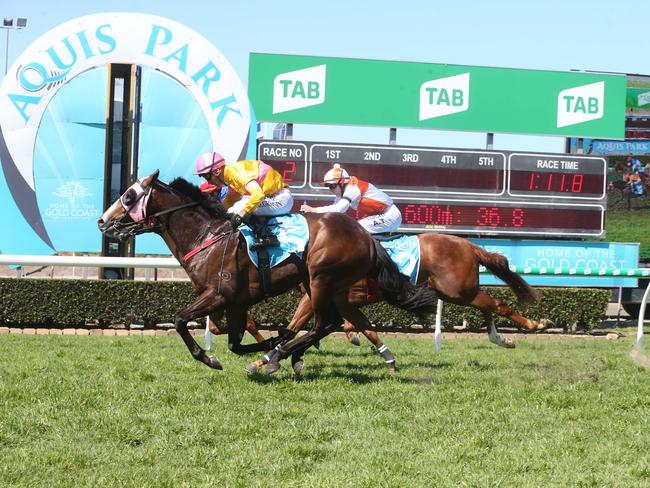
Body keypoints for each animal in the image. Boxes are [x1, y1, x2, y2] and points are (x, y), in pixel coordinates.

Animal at [96, 170, 436, 372]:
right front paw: (271, 343)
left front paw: (210, 358)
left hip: (321, 278)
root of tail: (365, 236)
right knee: (332, 323)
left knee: (325, 323)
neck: (207, 236)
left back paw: (278, 356)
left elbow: (181, 320)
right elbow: (234, 343)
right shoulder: (237, 301)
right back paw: (281, 353)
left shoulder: (219, 294)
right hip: (324, 286)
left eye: (128, 196)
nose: (102, 221)